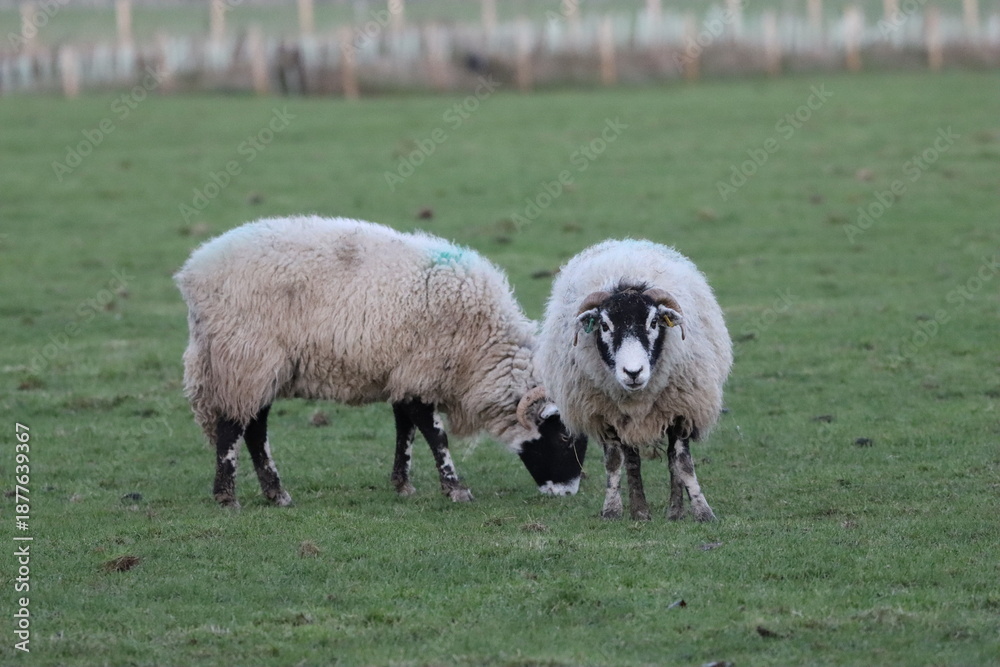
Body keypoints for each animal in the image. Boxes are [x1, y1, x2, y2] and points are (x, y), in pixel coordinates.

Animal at [175, 215, 587, 508]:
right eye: (564, 437)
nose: (568, 493)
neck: (481, 348)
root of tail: (194, 273)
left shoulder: (405, 372)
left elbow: (405, 429)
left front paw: (403, 484)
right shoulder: (422, 371)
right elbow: (434, 433)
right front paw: (455, 489)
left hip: (259, 365)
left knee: (254, 428)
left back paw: (276, 494)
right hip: (244, 356)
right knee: (233, 426)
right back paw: (228, 496)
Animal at [539, 239, 732, 521]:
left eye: (653, 322)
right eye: (604, 325)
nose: (633, 372)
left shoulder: (682, 408)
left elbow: (682, 463)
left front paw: (701, 511)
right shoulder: (605, 415)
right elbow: (616, 462)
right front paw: (615, 510)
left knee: (671, 459)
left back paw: (675, 511)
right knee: (631, 459)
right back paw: (640, 510)